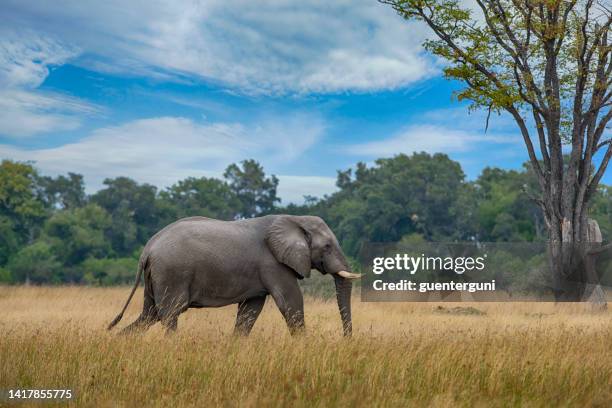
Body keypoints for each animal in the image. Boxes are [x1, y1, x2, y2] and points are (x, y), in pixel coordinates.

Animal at [107, 214, 360, 334]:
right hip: (172, 272)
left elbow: (250, 310)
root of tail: (148, 248)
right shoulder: (273, 264)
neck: (295, 219)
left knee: (149, 315)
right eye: (327, 246)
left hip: (158, 276)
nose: (345, 339)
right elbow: (291, 302)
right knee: (168, 315)